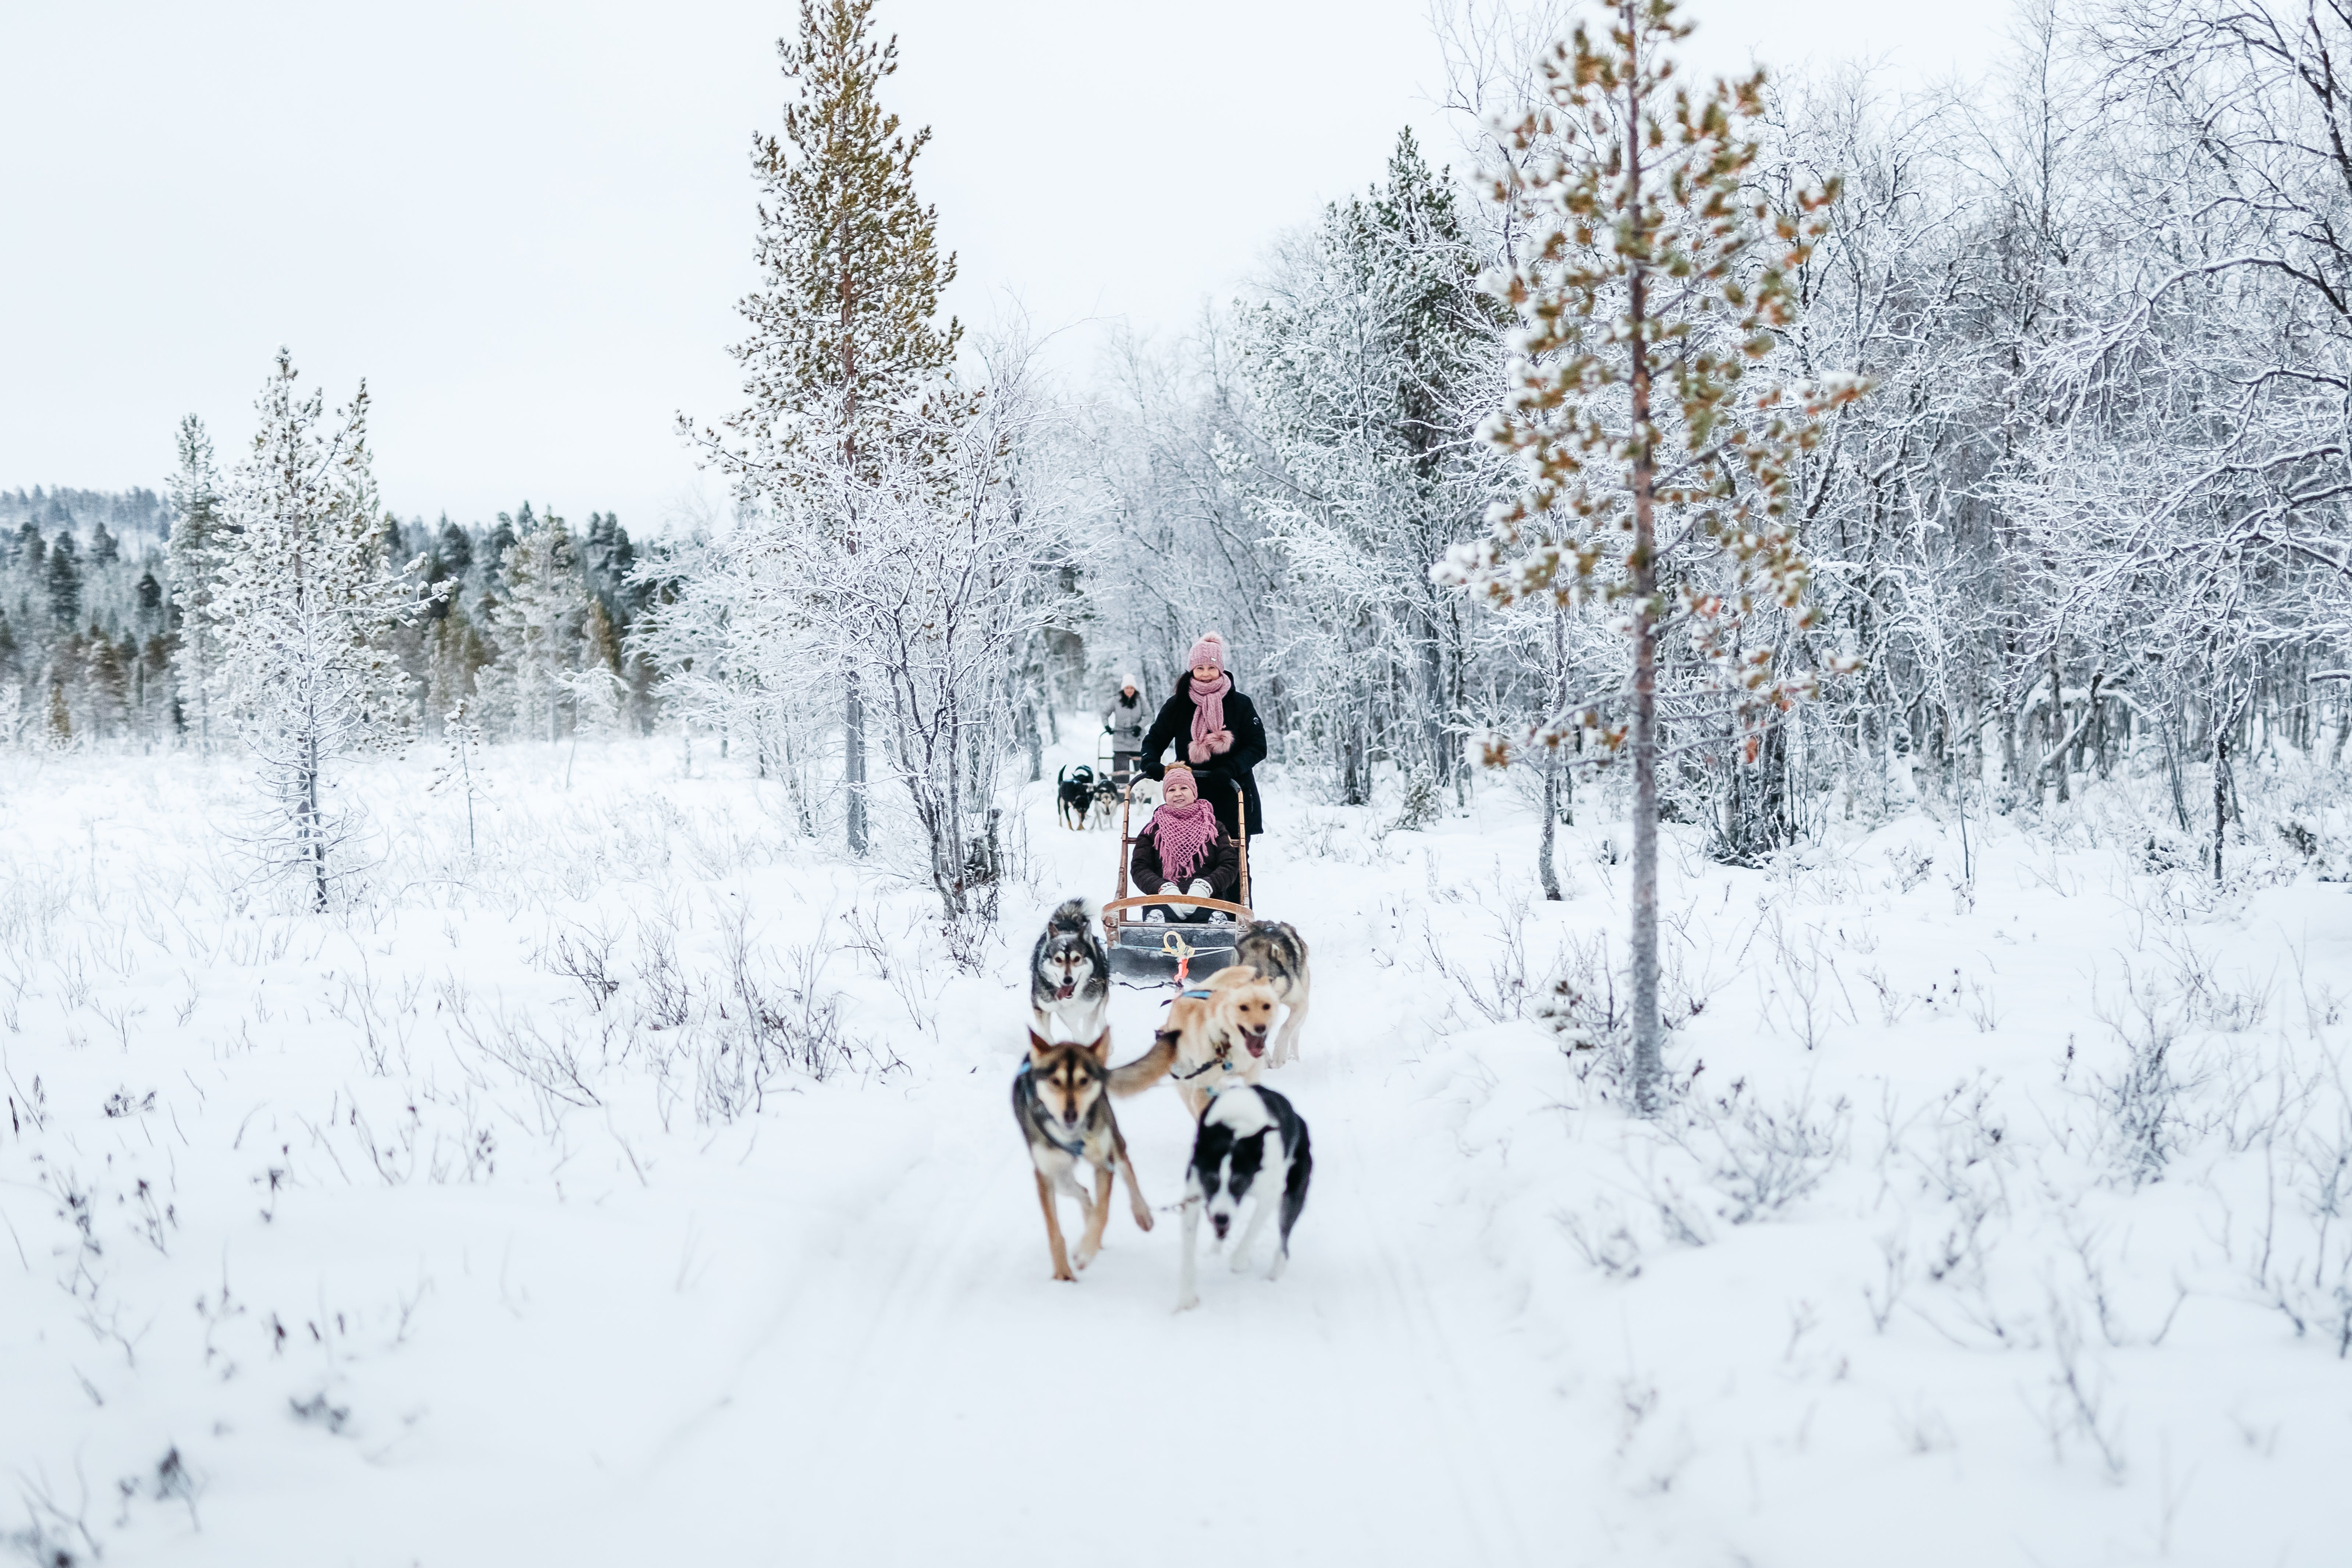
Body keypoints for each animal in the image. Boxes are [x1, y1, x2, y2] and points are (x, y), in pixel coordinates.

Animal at [1020, 1025, 1185, 1279]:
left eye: (1084, 1081)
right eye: (1055, 1081)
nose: (1071, 1115)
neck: (1072, 1137)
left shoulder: (1103, 1163)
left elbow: (1104, 1213)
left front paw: (1085, 1253)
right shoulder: (1045, 1174)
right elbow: (1055, 1230)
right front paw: (1063, 1274)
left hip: (1113, 1142)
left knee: (1126, 1168)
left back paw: (1141, 1213)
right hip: (1061, 1178)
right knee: (1083, 1193)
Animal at [1030, 903, 1110, 1048]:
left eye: (1077, 959)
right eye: (1058, 959)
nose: (1068, 980)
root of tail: (1067, 920)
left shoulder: (1091, 1008)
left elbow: (1087, 1036)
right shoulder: (1041, 1008)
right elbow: (1046, 1036)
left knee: (1101, 1018)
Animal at [1148, 968, 1279, 1128]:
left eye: (1266, 1006)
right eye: (1243, 1008)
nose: (1261, 1027)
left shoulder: (1251, 1079)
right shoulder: (1202, 1090)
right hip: (1187, 1087)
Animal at [1185, 1081, 1317, 1316]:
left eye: (1238, 1182)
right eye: (1210, 1180)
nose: (1221, 1218)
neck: (1236, 1130)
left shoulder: (1268, 1197)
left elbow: (1251, 1232)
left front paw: (1239, 1262)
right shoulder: (1194, 1193)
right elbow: (1188, 1253)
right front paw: (1187, 1298)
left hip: (1291, 1197)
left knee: (1284, 1241)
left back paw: (1275, 1272)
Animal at [1223, 921, 1317, 1067]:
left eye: (1270, 980)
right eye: (1249, 982)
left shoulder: (1300, 1003)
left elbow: (1286, 1027)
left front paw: (1279, 1056)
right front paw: (1265, 1059)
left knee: (1296, 1032)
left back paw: (1293, 1058)